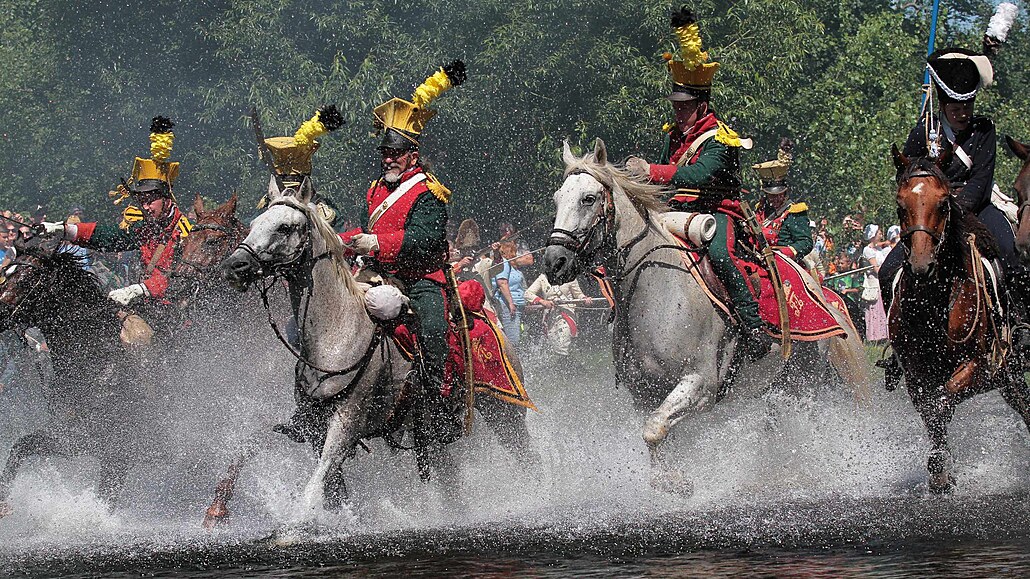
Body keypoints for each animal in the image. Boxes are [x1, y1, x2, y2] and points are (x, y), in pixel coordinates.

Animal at [209, 177, 535, 523]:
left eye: (285, 227)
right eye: (254, 224)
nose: (234, 266)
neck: (337, 334)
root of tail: (486, 314)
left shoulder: (347, 422)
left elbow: (315, 485)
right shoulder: (314, 429)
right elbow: (329, 488)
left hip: (504, 409)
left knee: (528, 458)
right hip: (431, 430)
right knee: (451, 481)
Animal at [543, 135, 865, 490]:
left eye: (588, 198)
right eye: (557, 199)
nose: (554, 262)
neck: (655, 289)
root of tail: (815, 284)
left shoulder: (700, 384)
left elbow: (654, 430)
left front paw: (675, 482)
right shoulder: (645, 394)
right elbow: (658, 433)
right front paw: (668, 477)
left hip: (801, 379)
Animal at [885, 144, 1030, 490]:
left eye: (942, 203)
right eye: (900, 205)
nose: (921, 266)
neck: (933, 306)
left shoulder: (979, 367)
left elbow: (943, 402)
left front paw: (940, 466)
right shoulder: (916, 376)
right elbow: (931, 412)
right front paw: (941, 471)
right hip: (1009, 378)